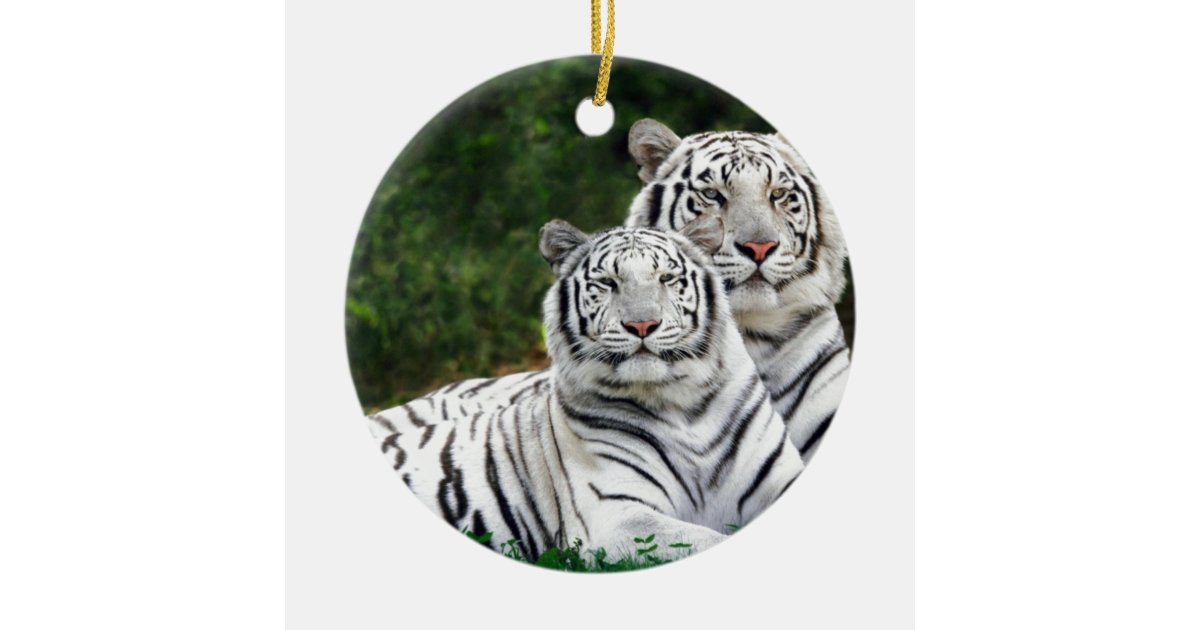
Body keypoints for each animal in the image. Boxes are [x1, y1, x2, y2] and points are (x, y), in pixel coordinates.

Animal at [366, 218, 804, 562]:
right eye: (608, 283)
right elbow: (708, 540)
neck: (683, 404)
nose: (642, 325)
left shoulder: (780, 476)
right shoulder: (617, 517)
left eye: (666, 279)